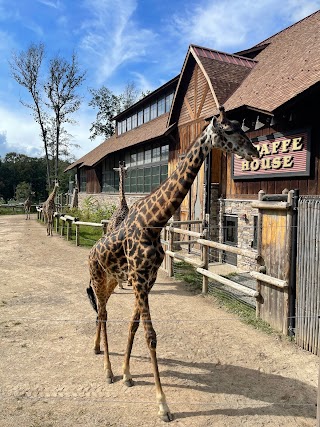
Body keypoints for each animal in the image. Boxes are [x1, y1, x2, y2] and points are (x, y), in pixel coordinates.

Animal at [86, 107, 258, 422]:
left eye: (241, 126)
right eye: (228, 130)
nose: (254, 151)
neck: (154, 221)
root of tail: (90, 253)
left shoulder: (146, 280)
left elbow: (134, 326)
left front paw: (128, 374)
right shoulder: (139, 279)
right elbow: (151, 335)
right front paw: (162, 404)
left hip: (114, 280)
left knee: (100, 315)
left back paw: (100, 354)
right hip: (98, 279)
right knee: (102, 315)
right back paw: (107, 371)